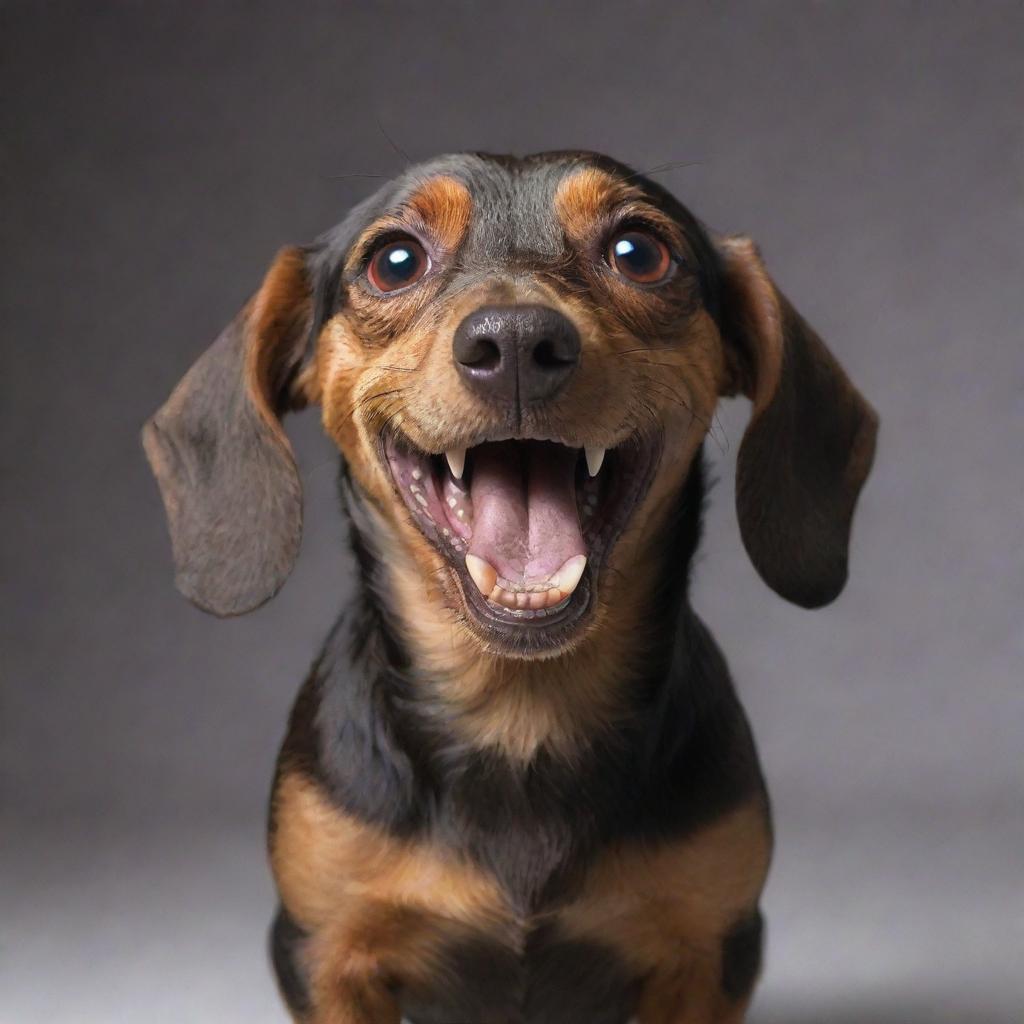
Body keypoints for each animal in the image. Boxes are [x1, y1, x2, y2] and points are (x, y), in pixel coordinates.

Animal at [144, 151, 876, 1024]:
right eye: (394, 261)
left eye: (640, 252)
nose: (519, 341)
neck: (521, 715)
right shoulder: (327, 956)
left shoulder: (706, 954)